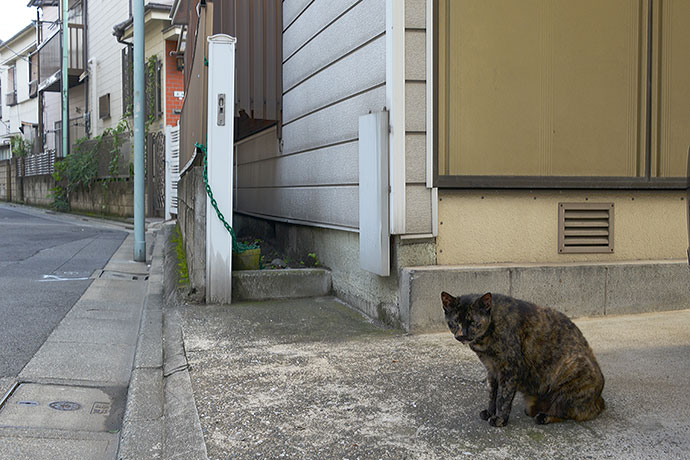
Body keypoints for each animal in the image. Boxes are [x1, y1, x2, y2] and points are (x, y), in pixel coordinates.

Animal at [440, 292, 600, 426]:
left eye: (473, 322)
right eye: (455, 321)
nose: (461, 335)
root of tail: (599, 403)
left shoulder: (510, 369)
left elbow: (503, 397)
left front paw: (500, 419)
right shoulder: (491, 369)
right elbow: (492, 394)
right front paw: (490, 412)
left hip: (572, 370)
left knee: (565, 412)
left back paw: (545, 416)